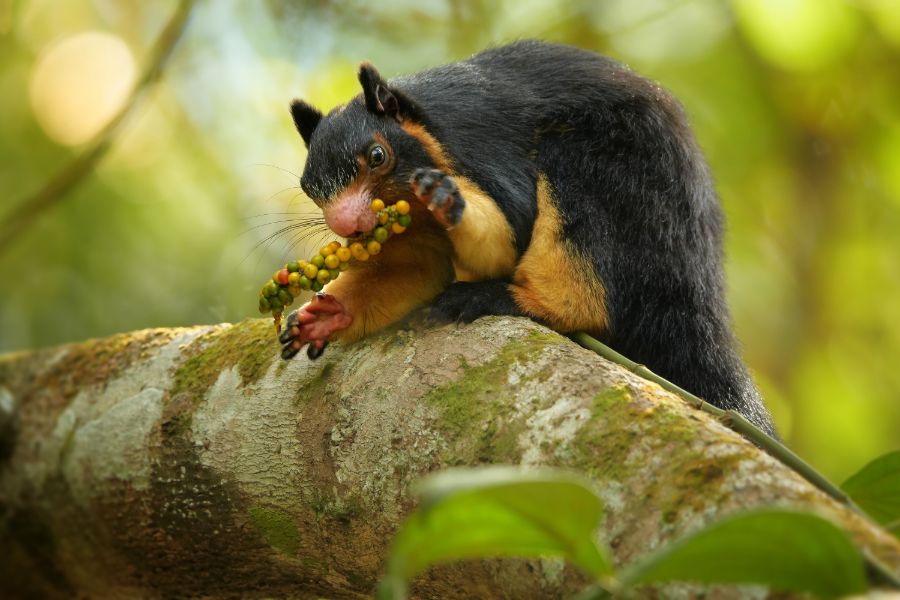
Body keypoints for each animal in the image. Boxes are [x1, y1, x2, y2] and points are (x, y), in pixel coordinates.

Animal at [278, 41, 776, 436]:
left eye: (378, 155)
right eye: (309, 187)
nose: (348, 225)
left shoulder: (482, 150)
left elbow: (509, 230)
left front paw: (450, 199)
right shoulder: (406, 234)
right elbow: (414, 267)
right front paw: (327, 315)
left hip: (615, 179)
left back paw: (507, 298)